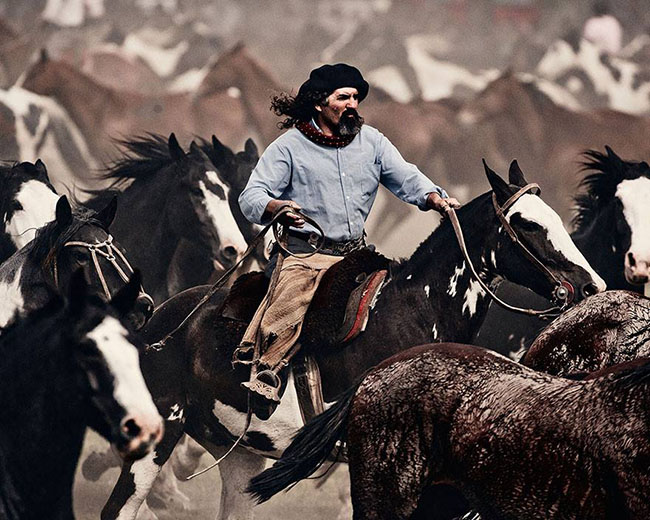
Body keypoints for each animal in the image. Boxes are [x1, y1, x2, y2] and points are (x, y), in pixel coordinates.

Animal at [100, 160, 604, 516]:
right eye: (527, 224)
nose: (591, 286)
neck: (414, 313)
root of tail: (160, 324)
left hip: (238, 455)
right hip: (158, 436)